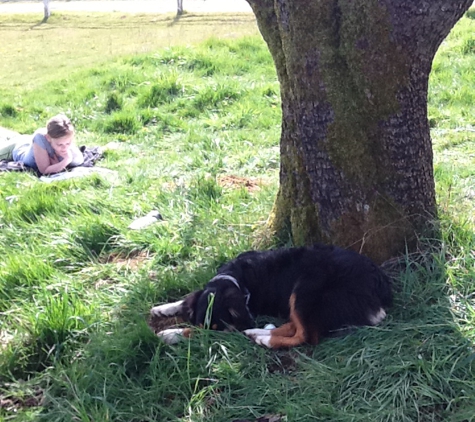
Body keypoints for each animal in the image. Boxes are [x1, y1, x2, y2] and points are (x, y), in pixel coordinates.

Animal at [152, 244, 394, 350]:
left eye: (216, 329)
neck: (233, 278)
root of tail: (380, 285)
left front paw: (170, 334)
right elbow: (186, 300)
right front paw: (162, 308)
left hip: (306, 287)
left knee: (305, 335)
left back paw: (264, 338)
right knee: (295, 326)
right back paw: (260, 332)